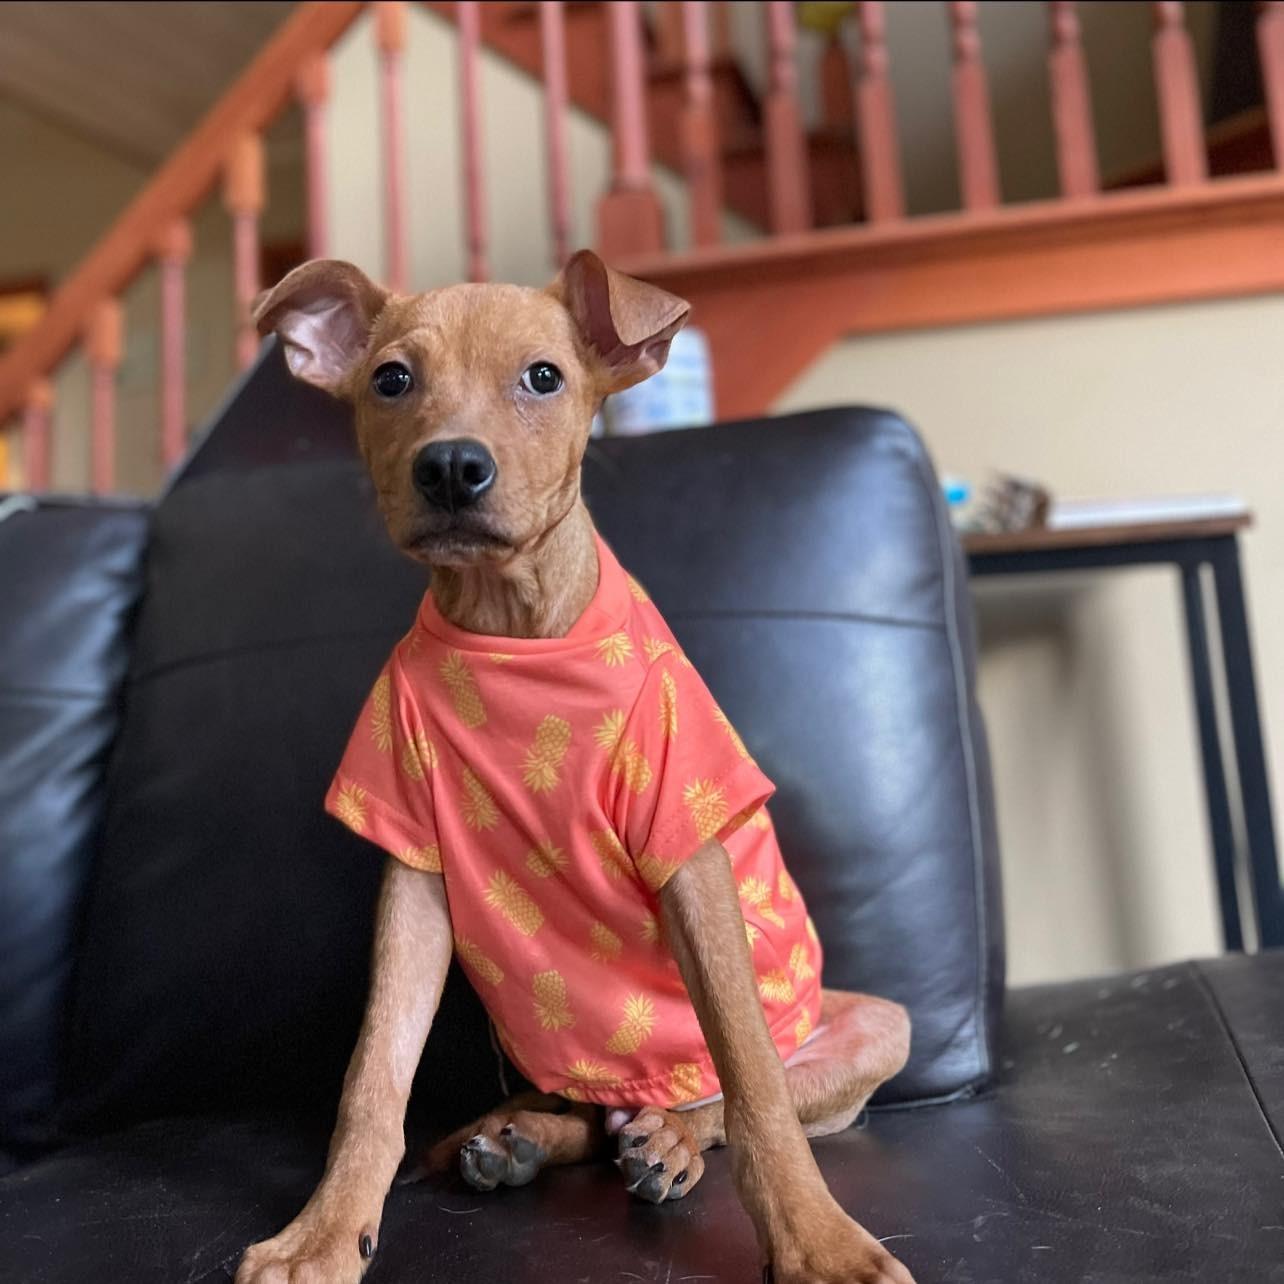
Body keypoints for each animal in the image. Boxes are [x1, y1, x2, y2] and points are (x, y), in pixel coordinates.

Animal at [231, 250, 914, 1284]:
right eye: (391, 380)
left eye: (544, 378)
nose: (452, 466)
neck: (514, 628)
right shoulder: (413, 860)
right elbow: (375, 1072)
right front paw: (323, 1232)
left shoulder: (688, 848)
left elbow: (752, 1081)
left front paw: (818, 1242)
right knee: (590, 1117)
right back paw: (517, 1140)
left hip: (880, 1025)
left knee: (721, 1098)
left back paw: (667, 1137)